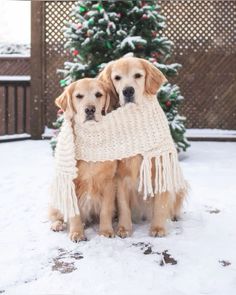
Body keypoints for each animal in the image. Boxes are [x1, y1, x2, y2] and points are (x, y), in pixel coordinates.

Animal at [48, 78, 117, 243]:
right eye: (79, 96)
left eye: (98, 94)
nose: (90, 110)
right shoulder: (71, 184)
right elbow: (74, 213)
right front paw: (77, 233)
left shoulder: (109, 182)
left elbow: (105, 210)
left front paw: (106, 231)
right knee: (55, 215)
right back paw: (57, 224)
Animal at [97, 57, 186, 238]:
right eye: (117, 78)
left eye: (138, 75)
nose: (128, 91)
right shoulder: (121, 176)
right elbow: (123, 205)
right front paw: (124, 228)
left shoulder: (161, 169)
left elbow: (161, 205)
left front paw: (158, 228)